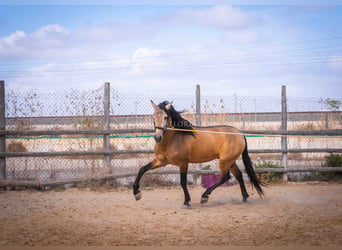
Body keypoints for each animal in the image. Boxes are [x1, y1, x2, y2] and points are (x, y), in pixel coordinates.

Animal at [132, 99, 264, 207]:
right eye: (153, 117)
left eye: (165, 117)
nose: (158, 137)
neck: (172, 139)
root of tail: (240, 133)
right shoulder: (161, 161)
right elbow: (142, 169)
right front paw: (137, 193)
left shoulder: (183, 163)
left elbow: (183, 182)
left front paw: (186, 202)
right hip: (230, 161)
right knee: (239, 175)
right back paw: (245, 198)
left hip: (225, 161)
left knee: (226, 177)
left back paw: (205, 196)